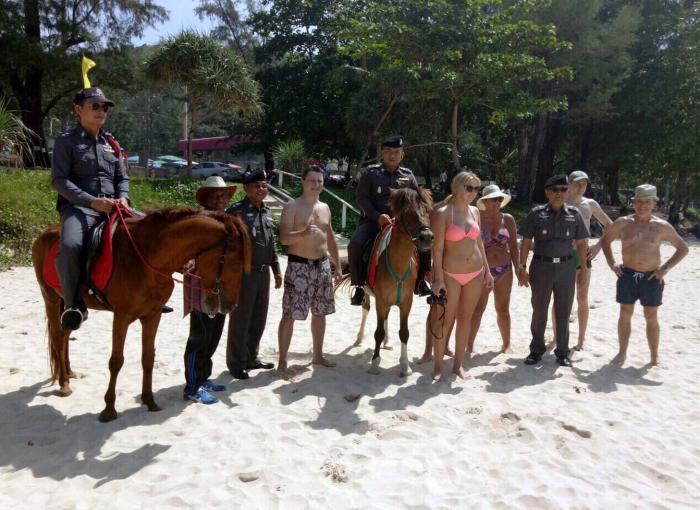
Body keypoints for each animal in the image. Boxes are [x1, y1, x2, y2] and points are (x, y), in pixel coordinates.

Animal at [33, 207, 252, 422]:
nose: (231, 306)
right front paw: (109, 409)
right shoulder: (121, 317)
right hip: (50, 299)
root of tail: (44, 233)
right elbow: (116, 361)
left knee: (65, 335)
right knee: (58, 338)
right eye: (235, 264)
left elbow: (148, 358)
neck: (147, 258)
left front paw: (150, 401)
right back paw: (63, 384)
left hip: (69, 305)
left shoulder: (152, 316)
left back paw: (69, 373)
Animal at [340, 187, 430, 374]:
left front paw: (405, 366)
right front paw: (375, 363)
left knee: (387, 317)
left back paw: (387, 342)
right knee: (365, 310)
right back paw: (359, 338)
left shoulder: (406, 303)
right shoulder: (380, 301)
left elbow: (404, 332)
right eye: (408, 212)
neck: (399, 263)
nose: (427, 237)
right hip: (368, 294)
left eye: (427, 210)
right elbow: (378, 332)